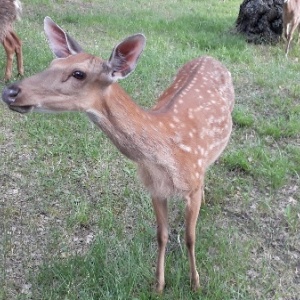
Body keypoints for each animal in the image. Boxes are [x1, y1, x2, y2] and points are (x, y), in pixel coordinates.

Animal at [1, 17, 234, 292]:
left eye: (78, 73)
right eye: (52, 64)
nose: (10, 92)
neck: (165, 150)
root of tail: (210, 56)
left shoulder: (192, 184)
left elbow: (189, 237)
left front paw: (195, 283)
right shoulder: (154, 188)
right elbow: (161, 235)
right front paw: (158, 285)